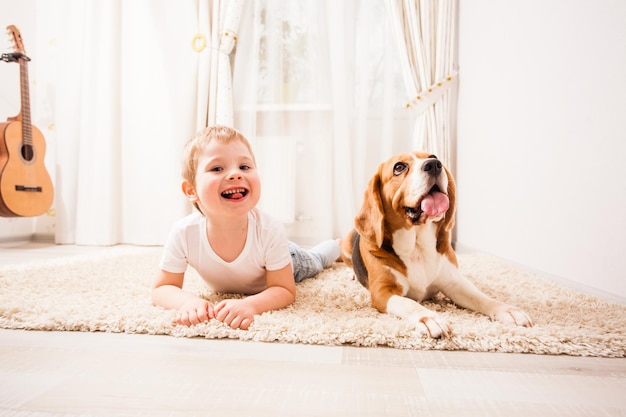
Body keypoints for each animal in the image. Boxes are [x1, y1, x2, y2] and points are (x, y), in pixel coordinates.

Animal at [342, 151, 532, 336]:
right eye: (399, 167)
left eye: (433, 157)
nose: (434, 165)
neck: (417, 247)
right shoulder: (382, 292)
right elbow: (409, 304)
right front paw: (429, 318)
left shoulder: (455, 283)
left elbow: (480, 297)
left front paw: (507, 310)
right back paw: (352, 273)